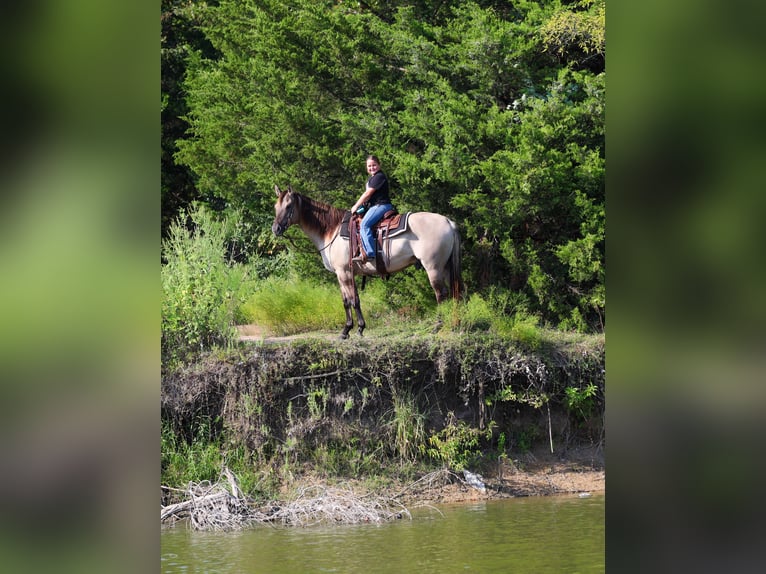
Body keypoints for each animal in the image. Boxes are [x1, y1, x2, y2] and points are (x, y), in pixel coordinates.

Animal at [272, 184, 462, 339]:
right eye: (275, 207)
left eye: (288, 206)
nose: (276, 229)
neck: (332, 231)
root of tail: (448, 221)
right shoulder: (345, 274)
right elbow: (347, 300)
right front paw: (350, 330)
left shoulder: (344, 272)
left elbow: (353, 300)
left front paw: (353, 329)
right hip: (445, 267)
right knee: (455, 292)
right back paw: (455, 324)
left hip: (433, 267)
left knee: (441, 294)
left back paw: (438, 326)